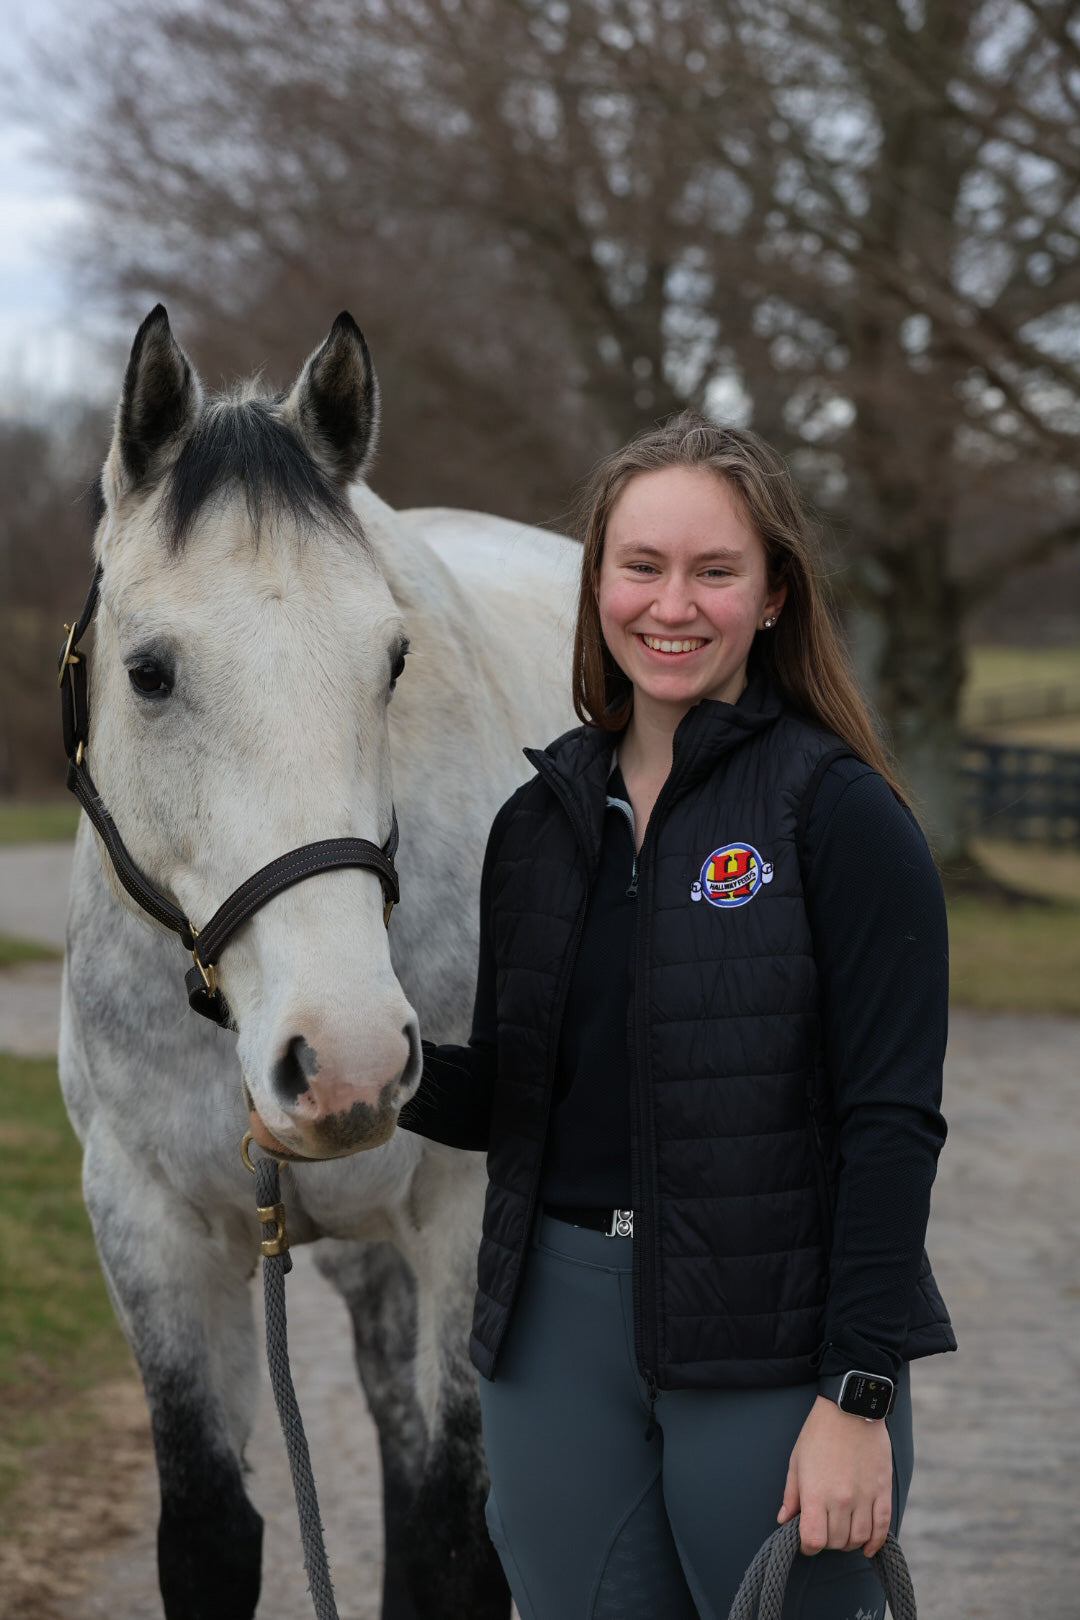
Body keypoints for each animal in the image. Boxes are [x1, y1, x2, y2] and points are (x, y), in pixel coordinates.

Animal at [57, 306, 582, 1620]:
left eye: (391, 660)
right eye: (149, 671)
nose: (347, 1057)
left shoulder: (466, 1222)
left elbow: (457, 1540)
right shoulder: (147, 1224)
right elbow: (210, 1533)